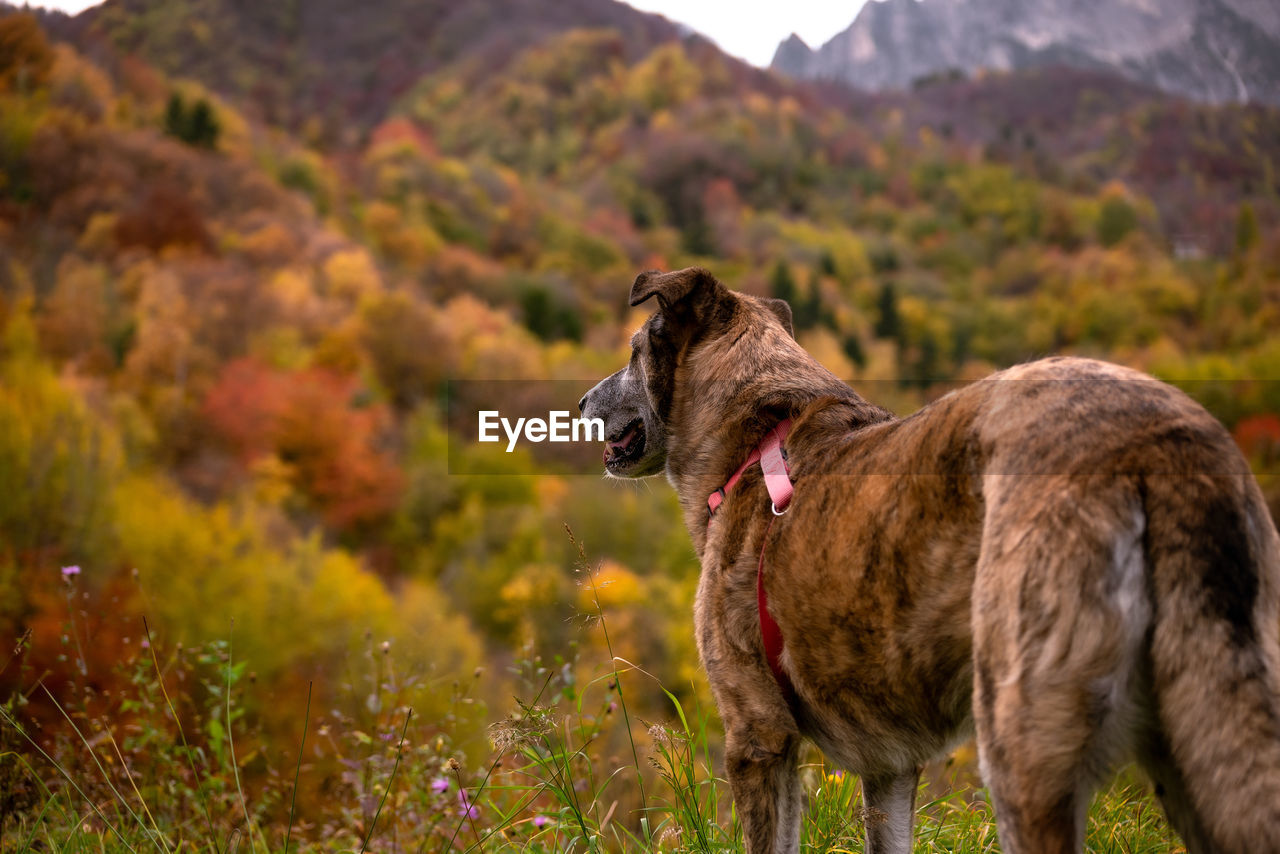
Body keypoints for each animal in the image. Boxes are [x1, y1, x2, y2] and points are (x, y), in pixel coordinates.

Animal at [586, 267, 1280, 854]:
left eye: (633, 351)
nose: (585, 405)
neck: (760, 437)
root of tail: (1159, 441)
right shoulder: (889, 768)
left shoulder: (758, 737)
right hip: (1199, 742)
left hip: (1023, 737)